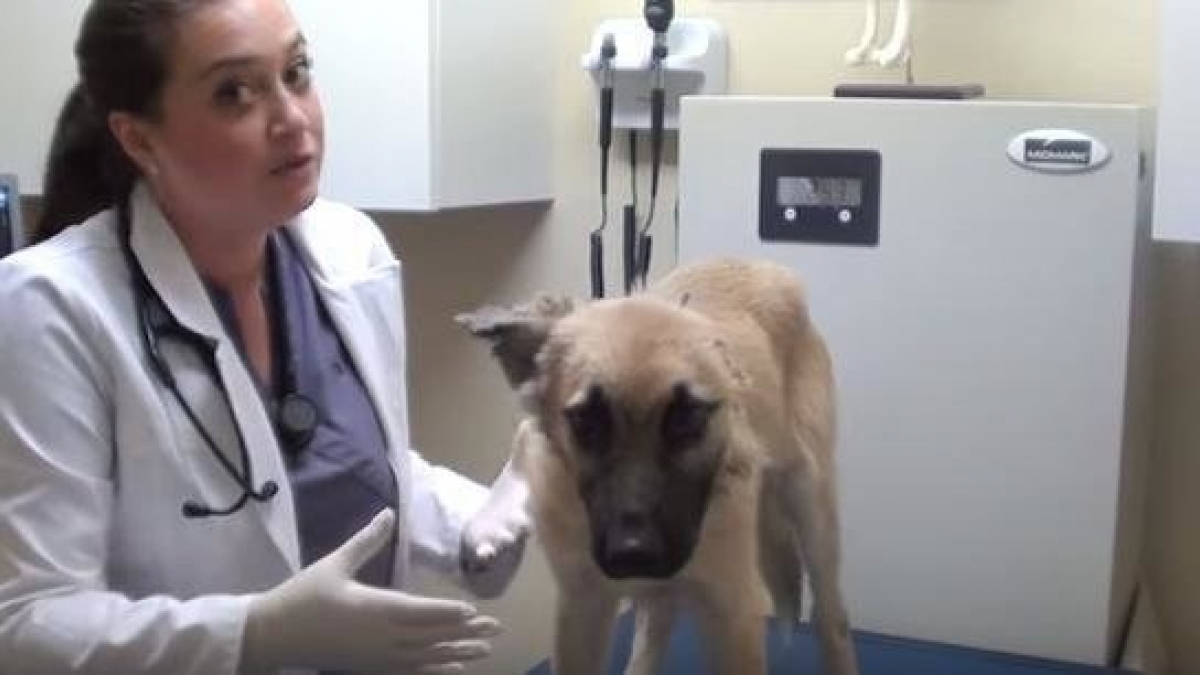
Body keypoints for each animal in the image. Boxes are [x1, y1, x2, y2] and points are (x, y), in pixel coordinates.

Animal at [453, 257, 859, 672]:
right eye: (586, 422)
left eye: (687, 419)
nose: (634, 555)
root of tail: (763, 266)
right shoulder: (581, 606)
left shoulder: (734, 612)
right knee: (657, 621)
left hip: (812, 509)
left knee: (832, 620)